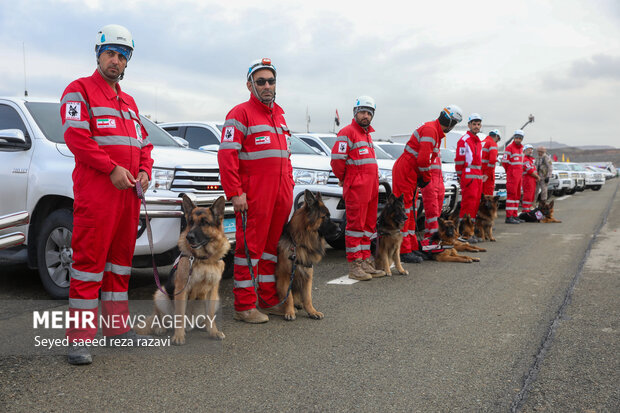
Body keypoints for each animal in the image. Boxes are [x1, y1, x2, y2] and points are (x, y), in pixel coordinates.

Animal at [135, 195, 230, 342]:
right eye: (190, 222)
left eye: (204, 223)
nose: (189, 237)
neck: (203, 259)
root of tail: (191, 324)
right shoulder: (181, 289)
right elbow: (179, 314)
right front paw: (178, 336)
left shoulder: (212, 290)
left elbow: (210, 314)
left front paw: (213, 332)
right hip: (161, 295)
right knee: (161, 317)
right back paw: (160, 328)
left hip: (216, 299)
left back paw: (204, 325)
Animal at [276, 190, 340, 322]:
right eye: (325, 217)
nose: (340, 229)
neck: (299, 243)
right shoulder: (284, 276)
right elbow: (288, 297)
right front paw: (289, 311)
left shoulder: (307, 274)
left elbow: (308, 297)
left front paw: (312, 312)